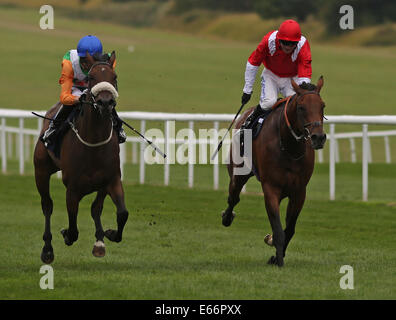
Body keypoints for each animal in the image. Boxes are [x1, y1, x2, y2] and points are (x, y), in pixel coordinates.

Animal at [33, 51, 128, 264]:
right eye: (92, 77)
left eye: (115, 77)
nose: (105, 102)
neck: (94, 142)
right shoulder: (73, 189)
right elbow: (73, 228)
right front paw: (65, 234)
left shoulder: (111, 180)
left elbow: (121, 213)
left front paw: (108, 235)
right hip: (41, 170)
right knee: (47, 205)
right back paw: (47, 249)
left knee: (96, 208)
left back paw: (99, 241)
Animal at [221, 77, 326, 268]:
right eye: (301, 107)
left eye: (322, 106)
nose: (318, 137)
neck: (289, 147)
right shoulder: (271, 188)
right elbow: (278, 229)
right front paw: (279, 260)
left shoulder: (299, 191)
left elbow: (289, 229)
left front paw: (275, 256)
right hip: (238, 174)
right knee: (233, 197)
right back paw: (227, 216)